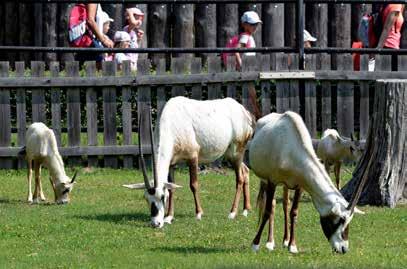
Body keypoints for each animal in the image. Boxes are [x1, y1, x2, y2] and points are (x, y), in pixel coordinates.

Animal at [123, 96, 255, 226]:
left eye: (162, 196)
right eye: (146, 198)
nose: (156, 223)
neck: (171, 123)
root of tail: (244, 112)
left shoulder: (193, 157)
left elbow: (193, 184)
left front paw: (198, 214)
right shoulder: (172, 163)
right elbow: (172, 188)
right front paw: (169, 217)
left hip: (236, 152)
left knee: (239, 179)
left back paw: (232, 213)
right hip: (230, 154)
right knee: (245, 171)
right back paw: (245, 210)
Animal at [250, 111, 368, 253]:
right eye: (340, 220)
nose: (344, 249)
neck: (292, 150)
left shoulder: (300, 185)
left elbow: (294, 212)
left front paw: (292, 245)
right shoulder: (272, 181)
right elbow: (267, 211)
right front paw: (255, 244)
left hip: (285, 185)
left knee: (285, 204)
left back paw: (285, 240)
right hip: (265, 180)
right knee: (271, 205)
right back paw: (270, 242)